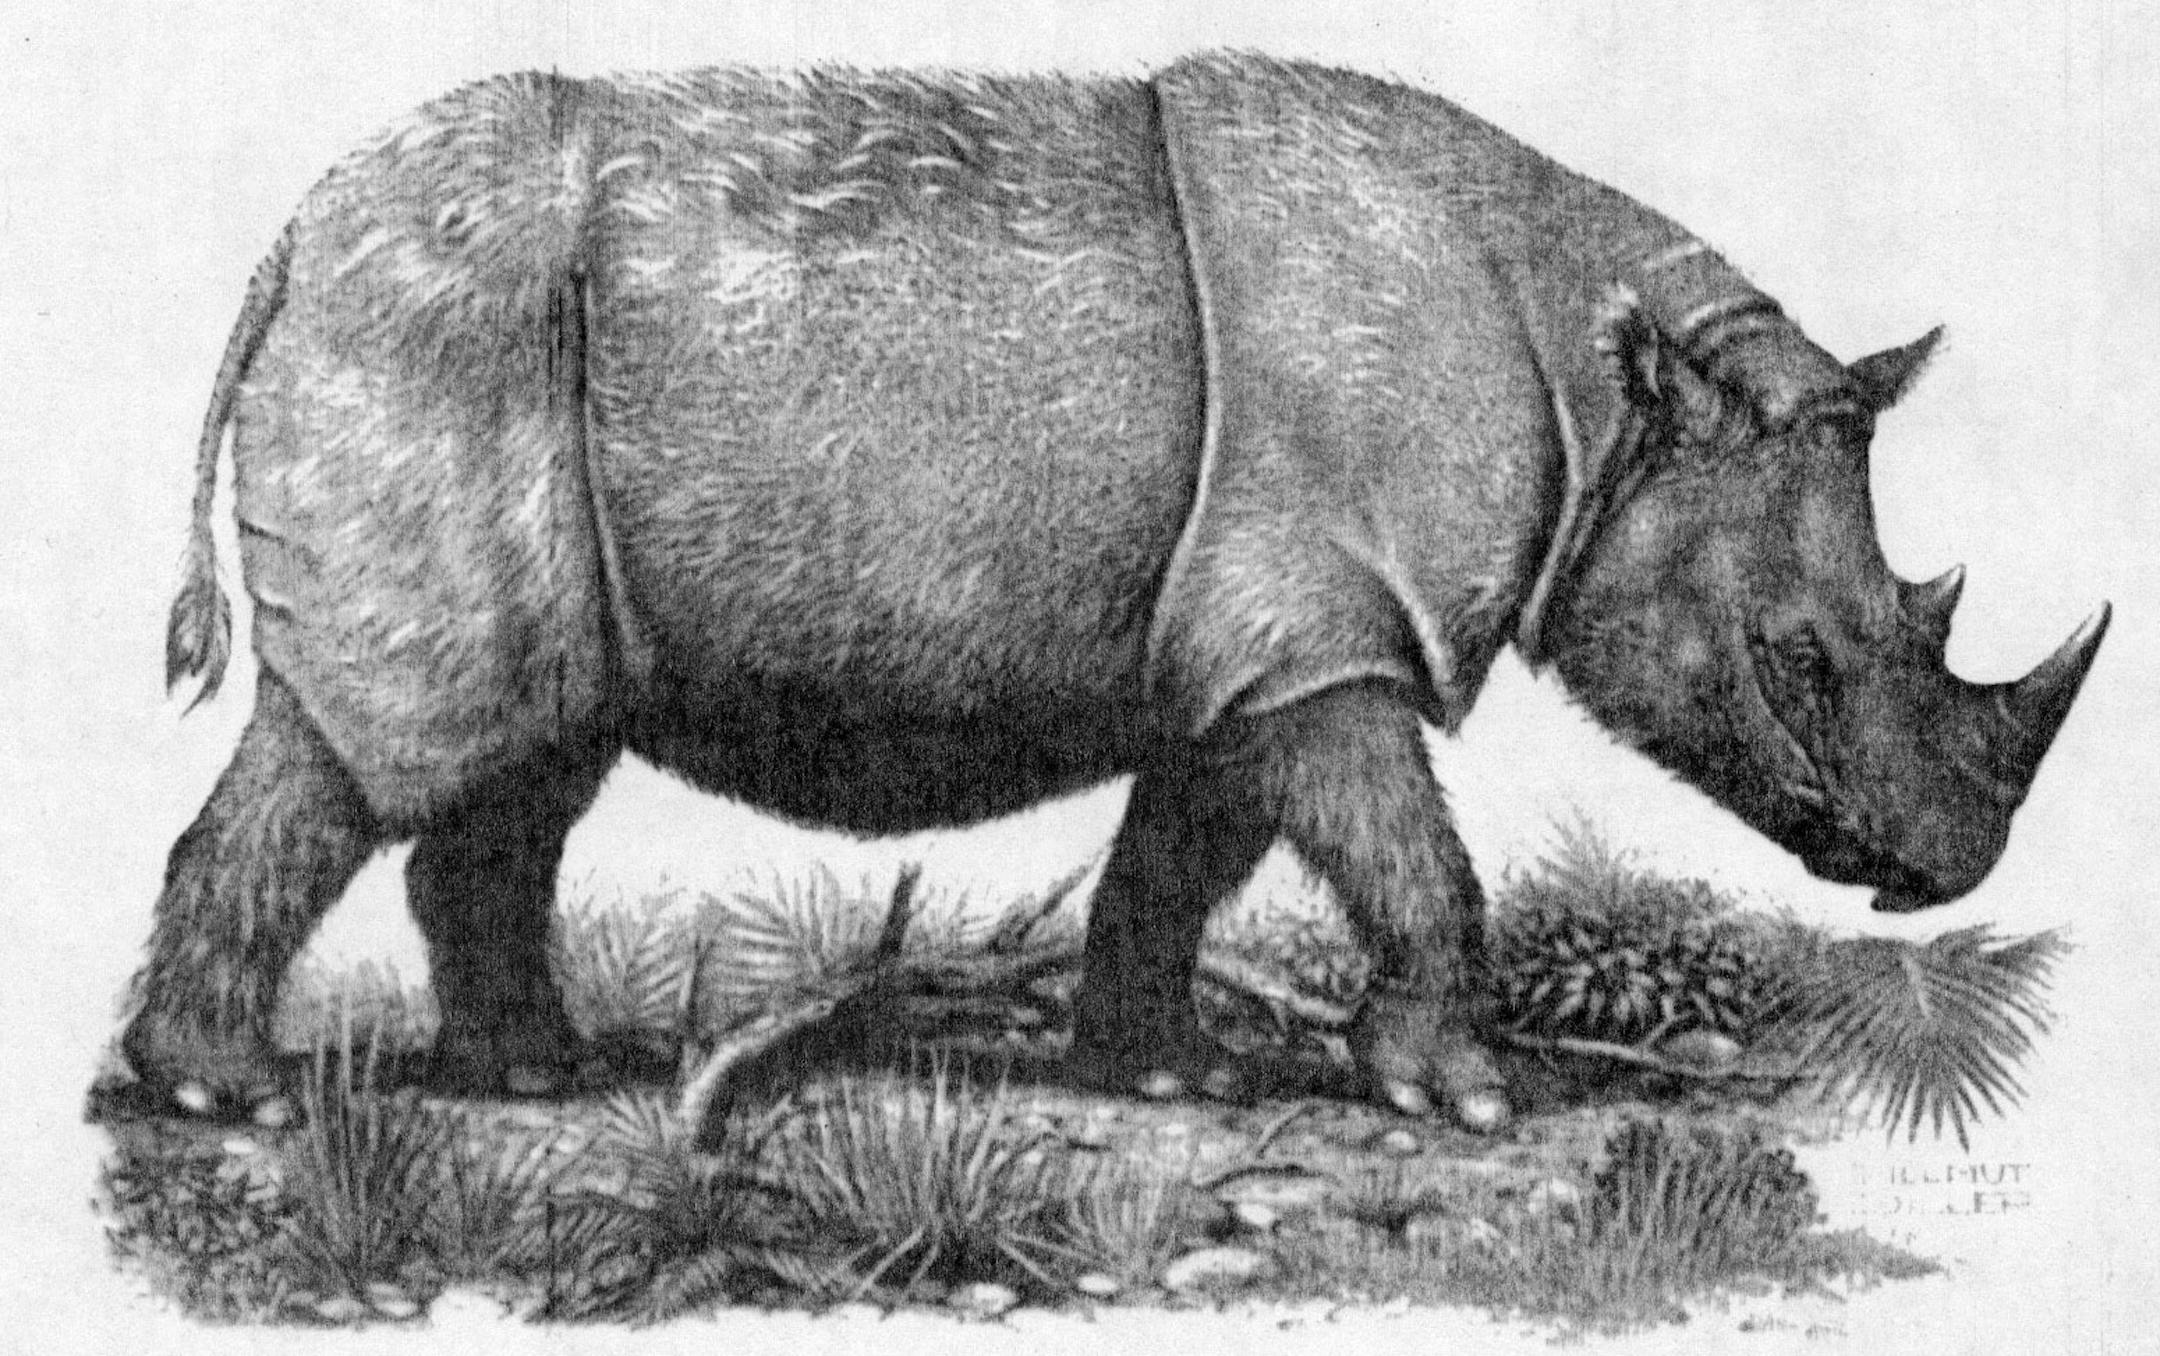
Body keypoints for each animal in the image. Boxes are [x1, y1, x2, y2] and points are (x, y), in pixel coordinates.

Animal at [122, 54, 2108, 1130]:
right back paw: (230, 1098)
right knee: (386, 746)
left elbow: (1188, 854)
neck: (1604, 389)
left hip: (492, 368)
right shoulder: (1328, 629)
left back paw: (542, 1079)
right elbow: (1417, 863)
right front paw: (1470, 1100)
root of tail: (287, 243)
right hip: (443, 331)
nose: (1945, 873)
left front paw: (1165, 1081)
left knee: (528, 751)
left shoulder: (1265, 640)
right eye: (1799, 663)